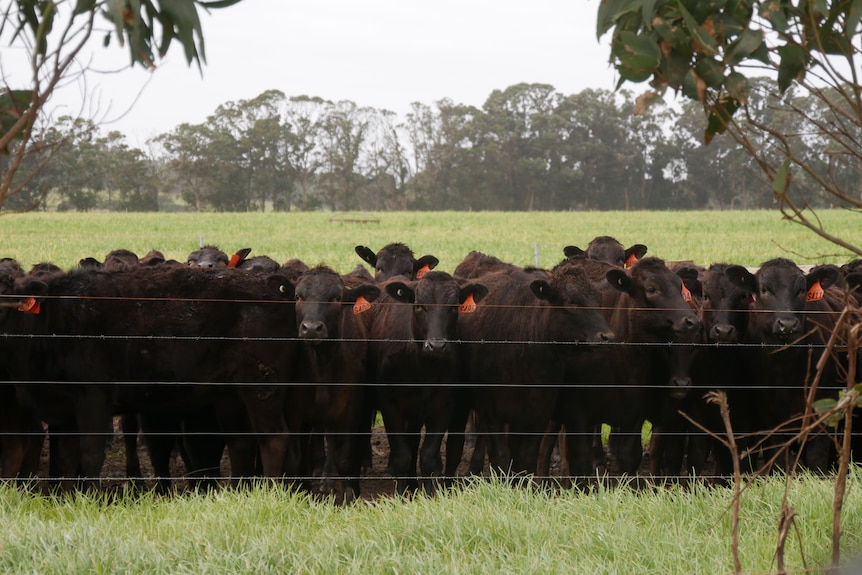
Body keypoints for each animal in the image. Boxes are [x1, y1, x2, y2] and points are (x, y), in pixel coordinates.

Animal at [370, 272, 486, 496]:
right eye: (419, 305)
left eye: (453, 307)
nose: (437, 345)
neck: (422, 368)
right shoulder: (389, 404)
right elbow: (401, 455)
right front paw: (400, 495)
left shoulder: (444, 405)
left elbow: (429, 456)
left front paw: (431, 494)